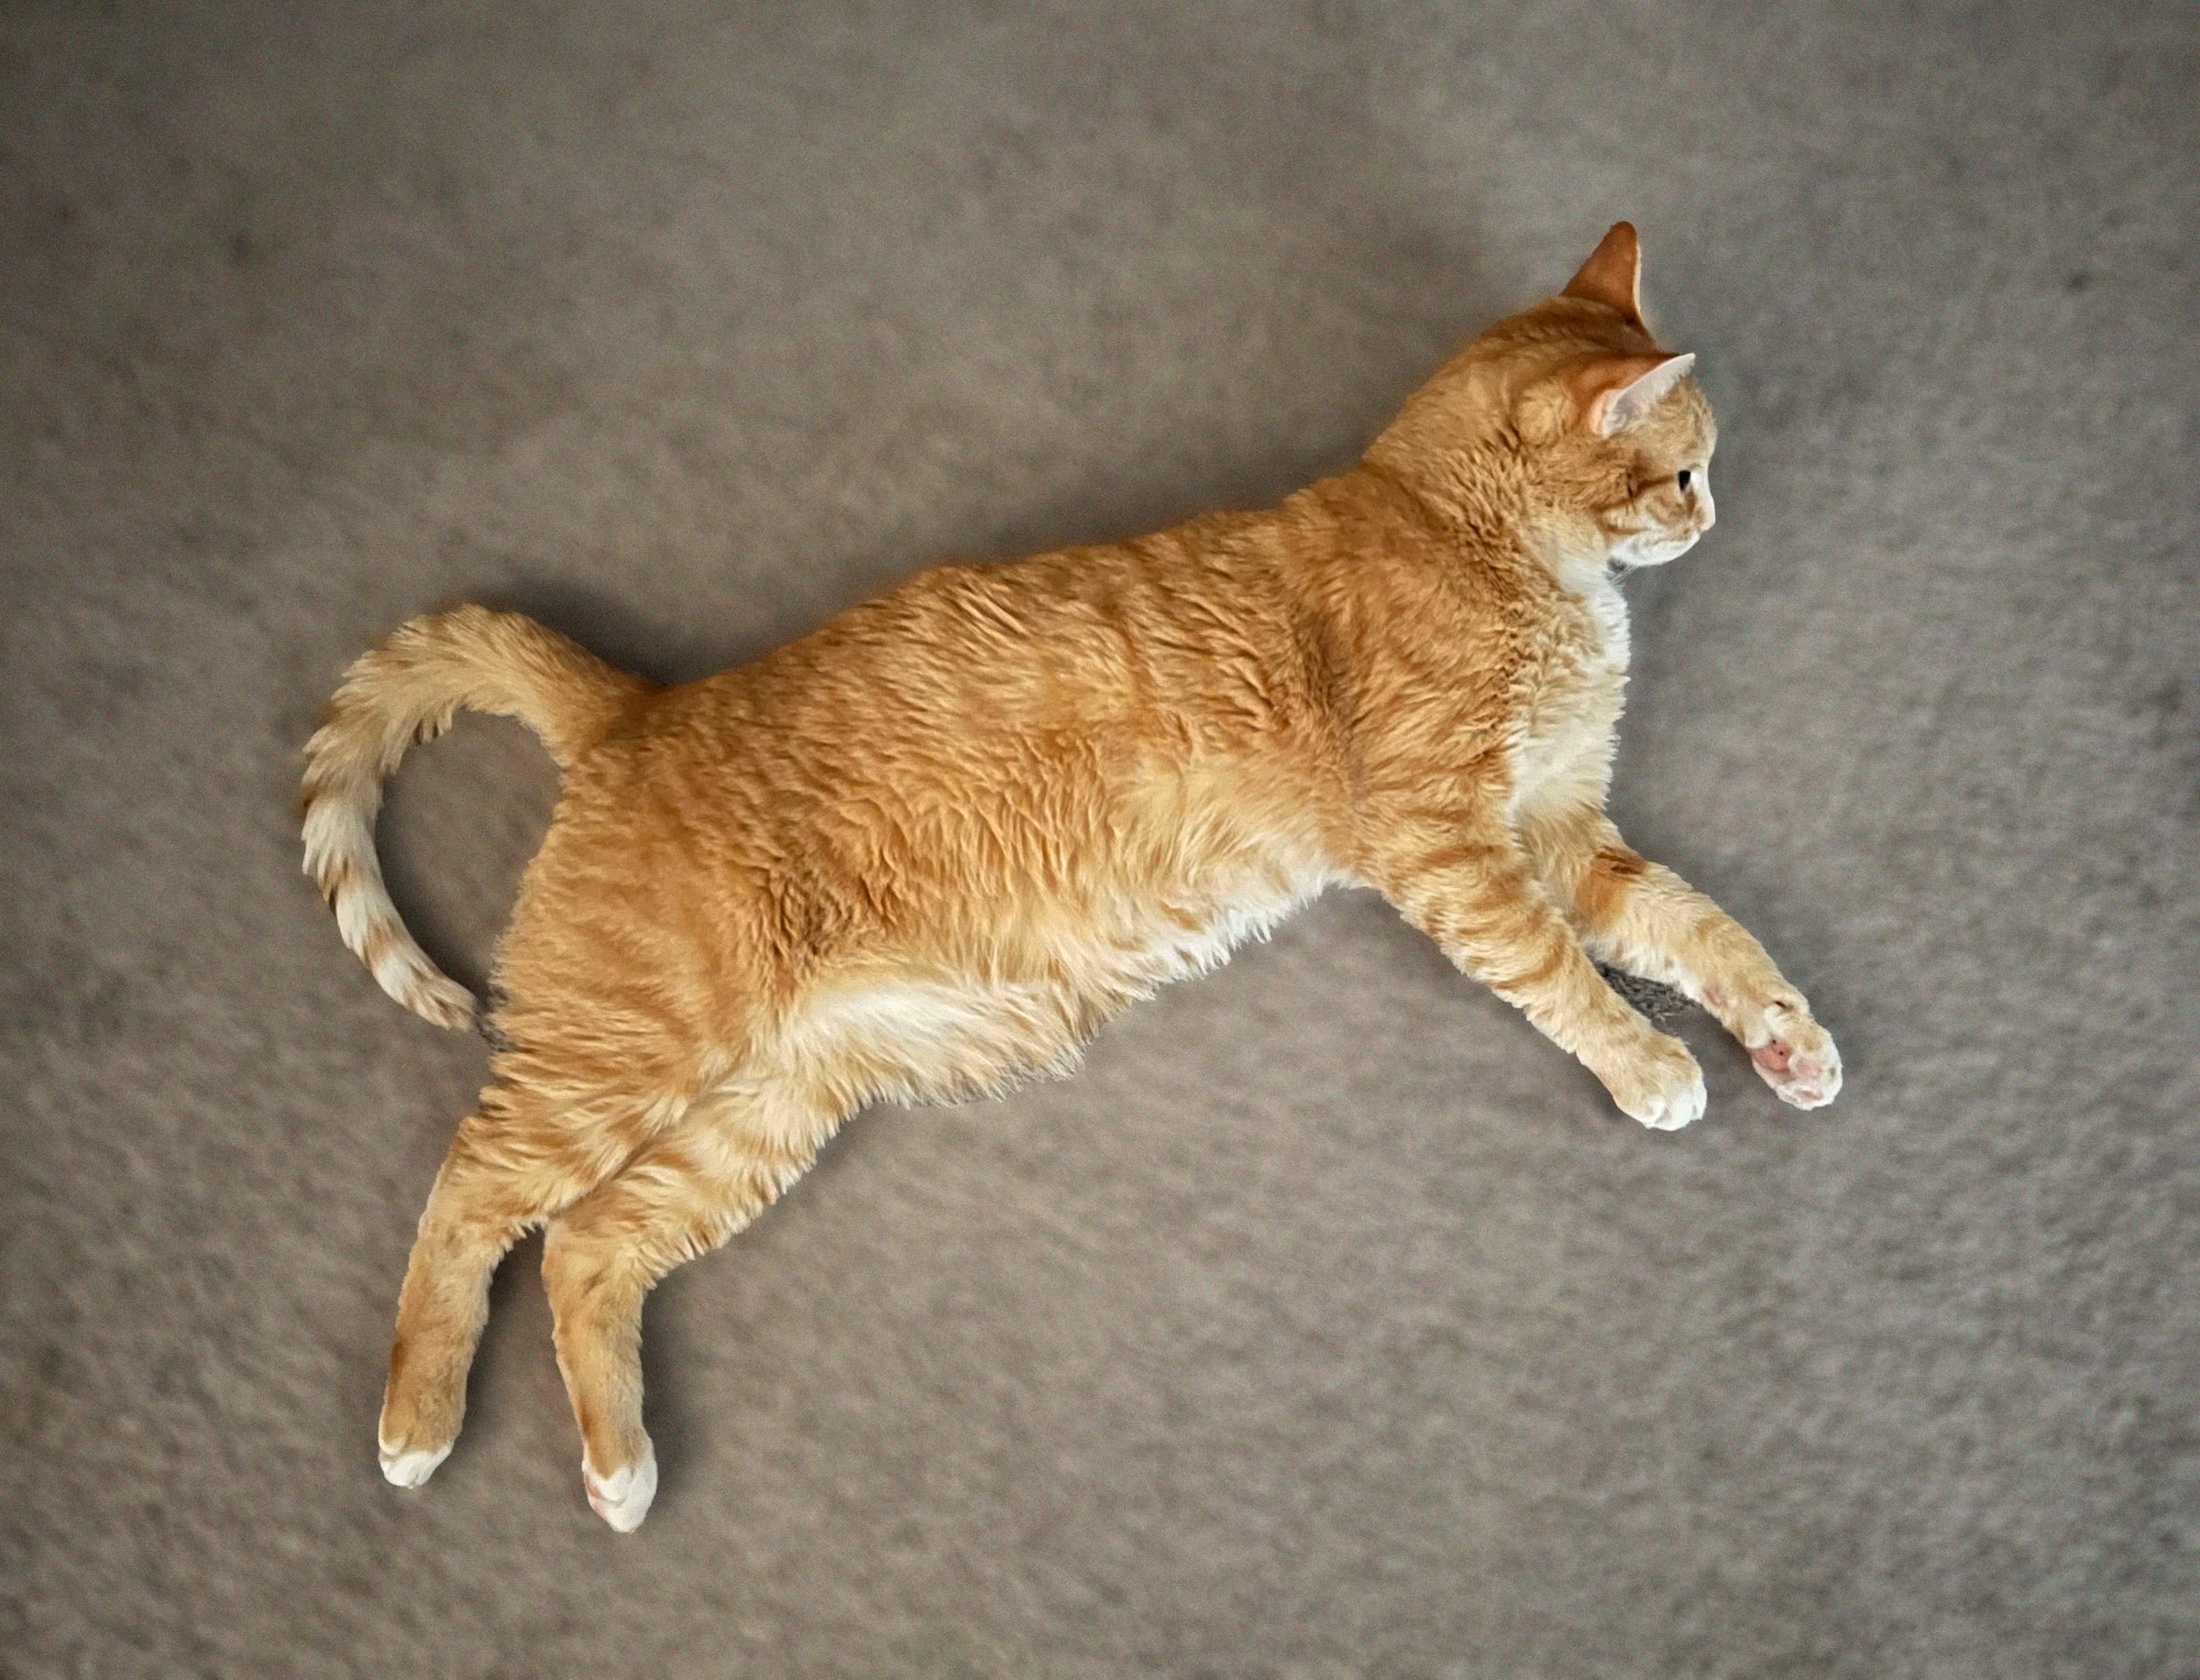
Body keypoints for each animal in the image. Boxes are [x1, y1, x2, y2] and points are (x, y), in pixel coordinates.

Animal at [297, 226, 1839, 1539]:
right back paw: (417, 1426)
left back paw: (619, 1469)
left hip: (774, 1108)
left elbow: (1694, 925)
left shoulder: (1571, 832)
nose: (1715, 515)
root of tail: (635, 704)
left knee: (589, 1245)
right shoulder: (1453, 847)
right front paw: (1648, 1065)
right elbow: (1567, 976)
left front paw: (1783, 1037)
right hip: (629, 1053)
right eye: (1685, 472)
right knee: (474, 1191)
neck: (1469, 534)